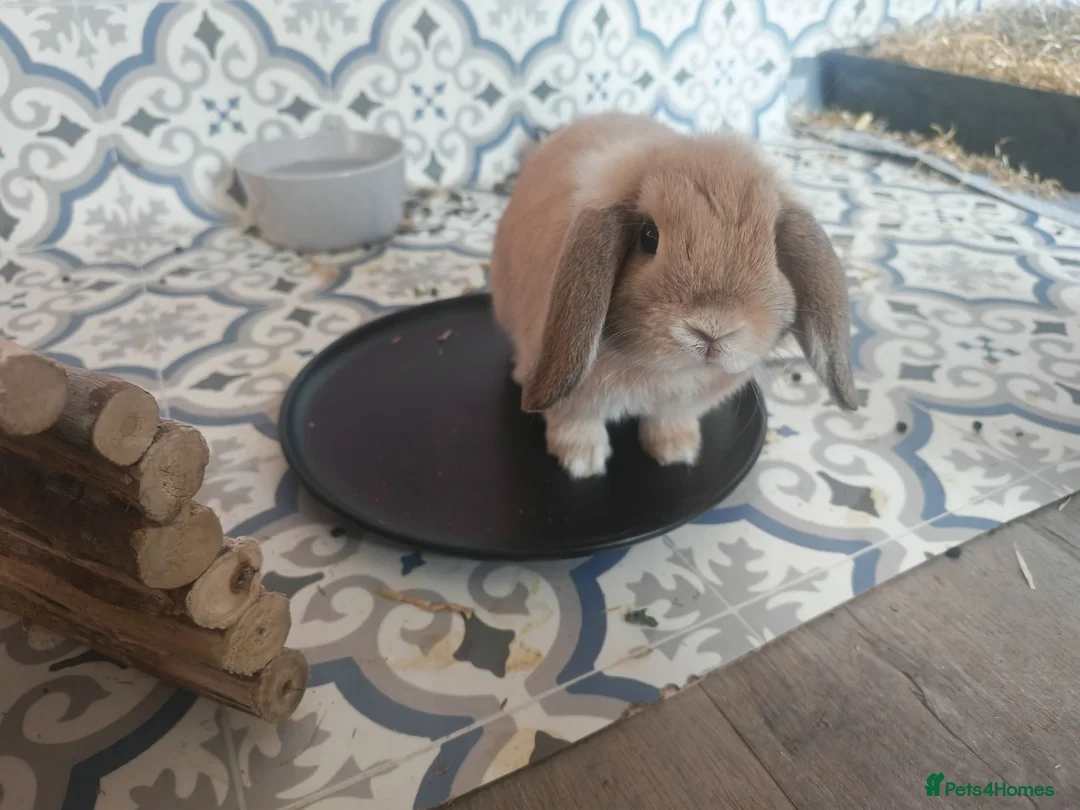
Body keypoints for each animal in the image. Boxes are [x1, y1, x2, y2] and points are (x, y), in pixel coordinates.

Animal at [490, 112, 857, 479]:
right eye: (649, 236)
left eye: (776, 250)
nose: (712, 330)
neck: (665, 373)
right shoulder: (573, 403)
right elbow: (576, 424)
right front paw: (583, 463)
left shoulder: (680, 404)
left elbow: (669, 420)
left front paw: (677, 452)